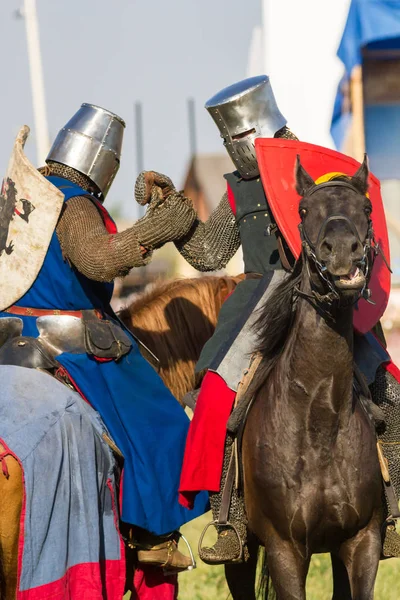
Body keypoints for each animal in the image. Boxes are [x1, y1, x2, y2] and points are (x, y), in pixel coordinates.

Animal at [227, 156, 382, 600]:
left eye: (366, 209)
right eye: (303, 210)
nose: (343, 251)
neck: (320, 417)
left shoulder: (362, 542)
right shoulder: (285, 547)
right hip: (242, 553)